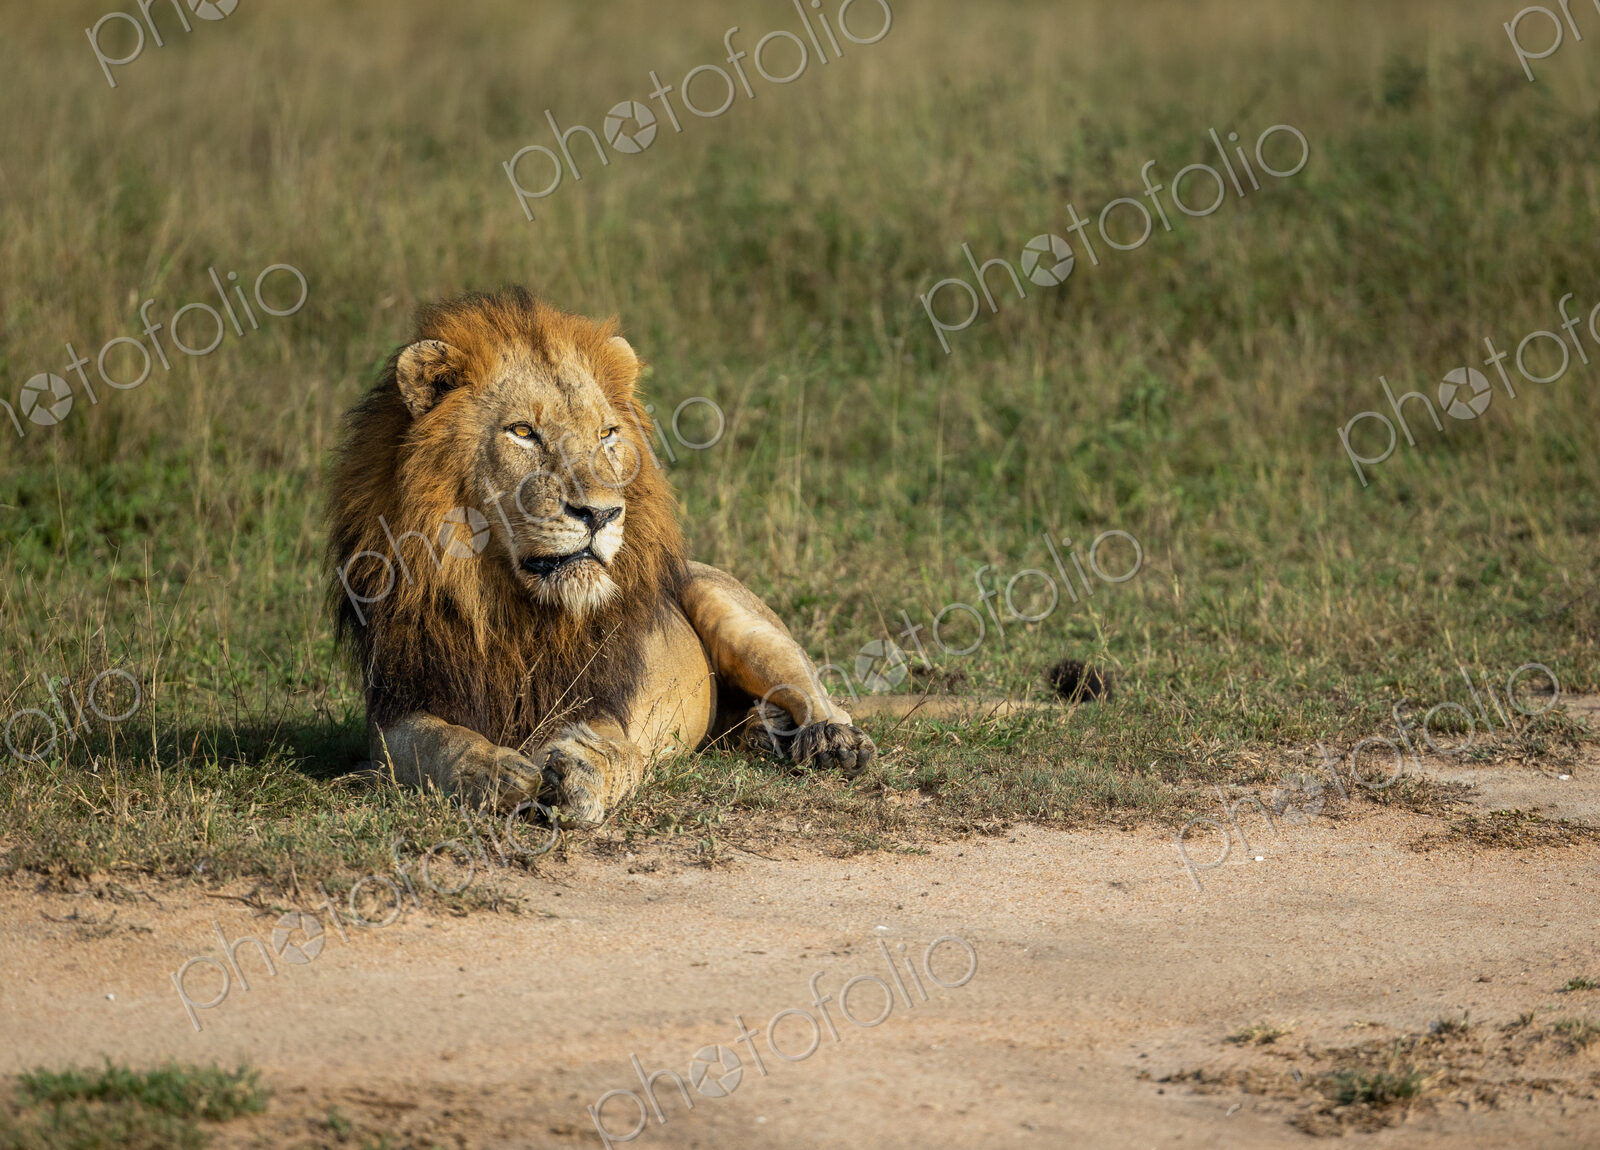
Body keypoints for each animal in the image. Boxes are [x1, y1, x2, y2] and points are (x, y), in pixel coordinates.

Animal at [328, 289, 1103, 826]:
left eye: (607, 434)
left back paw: (828, 741)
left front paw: (575, 773)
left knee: (815, 689)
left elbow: (611, 745)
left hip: (726, 604)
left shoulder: (609, 695)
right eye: (522, 433)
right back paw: (764, 738)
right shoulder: (398, 706)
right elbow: (440, 746)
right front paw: (499, 774)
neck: (511, 607)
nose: (601, 513)